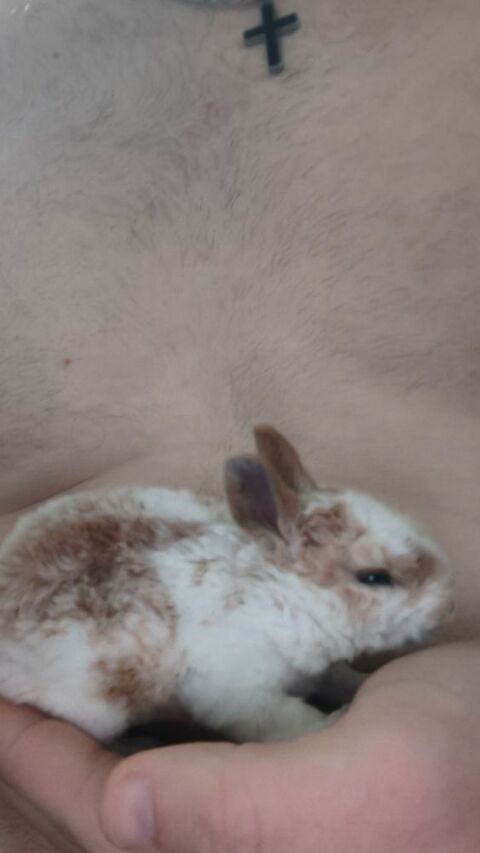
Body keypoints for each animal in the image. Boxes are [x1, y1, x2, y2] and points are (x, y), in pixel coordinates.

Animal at [0, 425, 453, 743]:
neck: (283, 595)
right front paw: (332, 722)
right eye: (374, 577)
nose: (448, 602)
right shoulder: (237, 690)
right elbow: (286, 720)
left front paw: (357, 686)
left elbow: (337, 677)